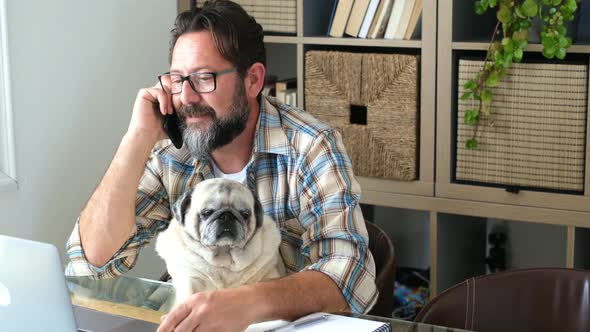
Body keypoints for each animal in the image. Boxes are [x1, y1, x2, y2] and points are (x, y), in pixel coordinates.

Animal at [156, 178, 288, 304]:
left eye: (245, 214)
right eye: (206, 213)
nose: (227, 216)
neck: (225, 255)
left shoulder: (269, 275)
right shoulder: (191, 278)